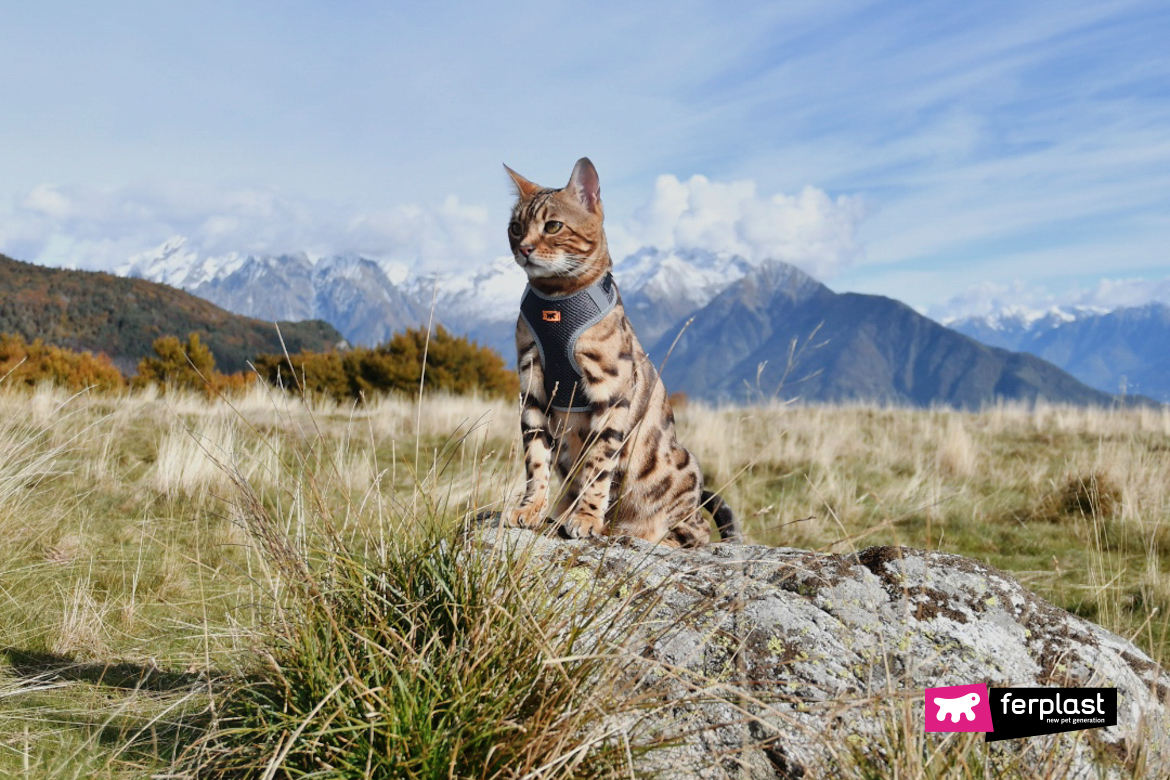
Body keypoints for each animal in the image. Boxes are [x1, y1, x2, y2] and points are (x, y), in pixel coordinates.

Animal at [500, 156, 739, 549]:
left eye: (553, 226)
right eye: (516, 228)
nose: (524, 249)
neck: (556, 300)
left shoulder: (610, 391)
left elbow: (598, 465)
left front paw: (586, 517)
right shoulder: (532, 386)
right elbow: (535, 459)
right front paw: (530, 507)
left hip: (679, 468)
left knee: (696, 533)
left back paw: (644, 535)